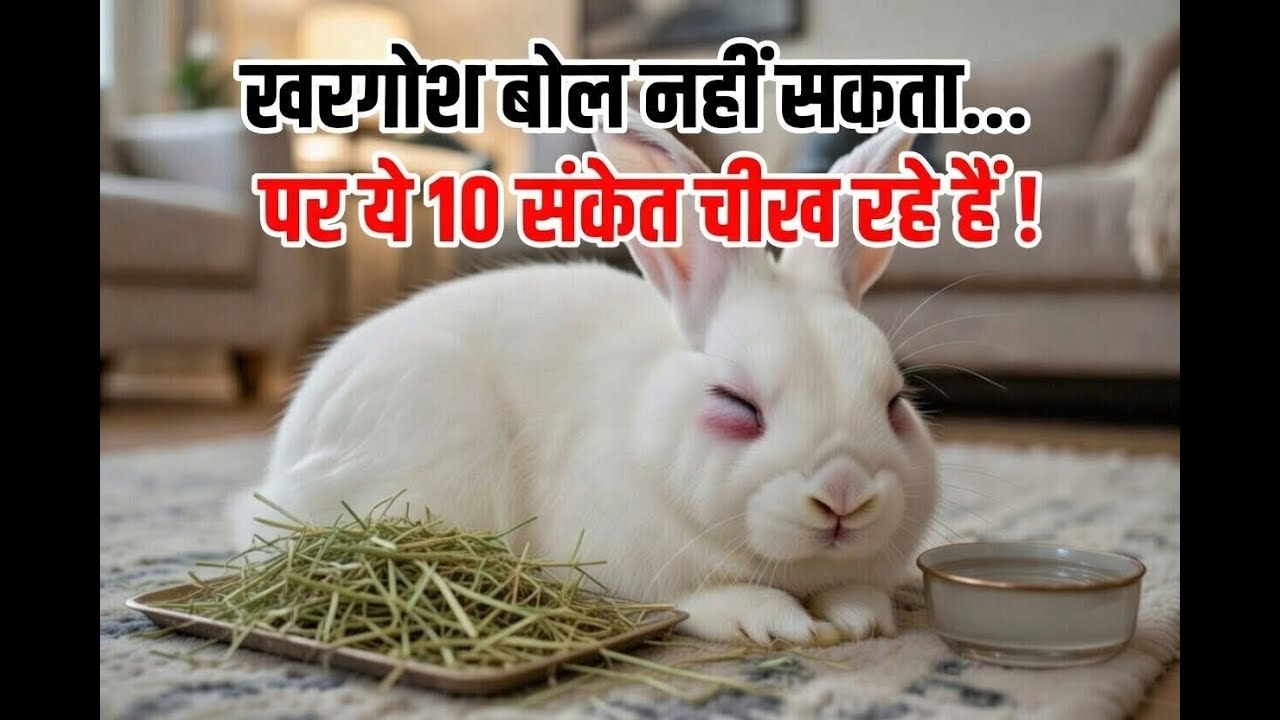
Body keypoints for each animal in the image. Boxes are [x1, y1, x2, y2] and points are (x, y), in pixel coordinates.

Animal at [231, 112, 938, 646]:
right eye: (737, 404)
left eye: (894, 402)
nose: (844, 493)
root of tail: (279, 470)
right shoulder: (637, 568)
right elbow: (710, 599)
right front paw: (781, 625)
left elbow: (856, 590)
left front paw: (856, 621)